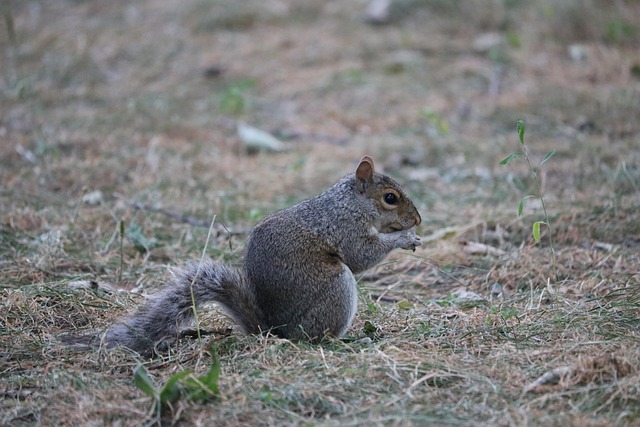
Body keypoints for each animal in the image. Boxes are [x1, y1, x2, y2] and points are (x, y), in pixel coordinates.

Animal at [104, 156, 422, 354]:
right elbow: (360, 255)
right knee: (317, 337)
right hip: (336, 288)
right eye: (390, 198)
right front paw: (403, 239)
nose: (417, 219)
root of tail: (274, 331)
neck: (349, 203)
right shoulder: (344, 227)